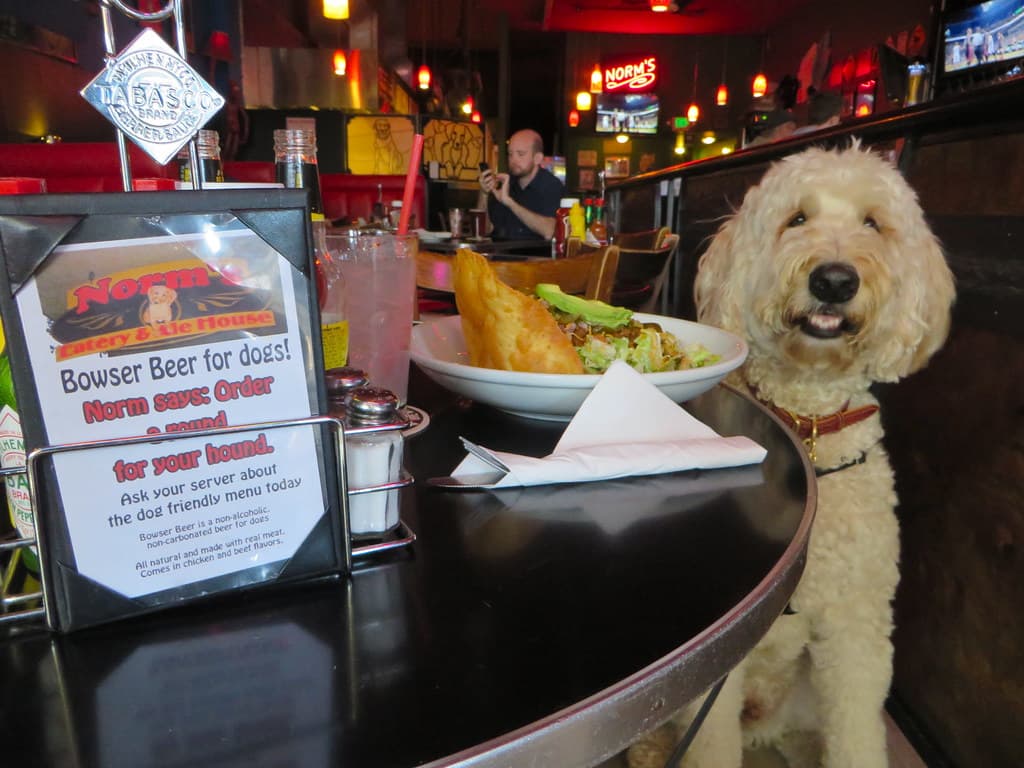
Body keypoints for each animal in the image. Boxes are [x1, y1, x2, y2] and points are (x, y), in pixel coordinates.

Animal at [626, 145, 954, 768]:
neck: (809, 424)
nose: (834, 280)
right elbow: (710, 745)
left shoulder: (856, 626)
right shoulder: (717, 669)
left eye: (873, 223)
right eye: (796, 219)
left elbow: (857, 731)